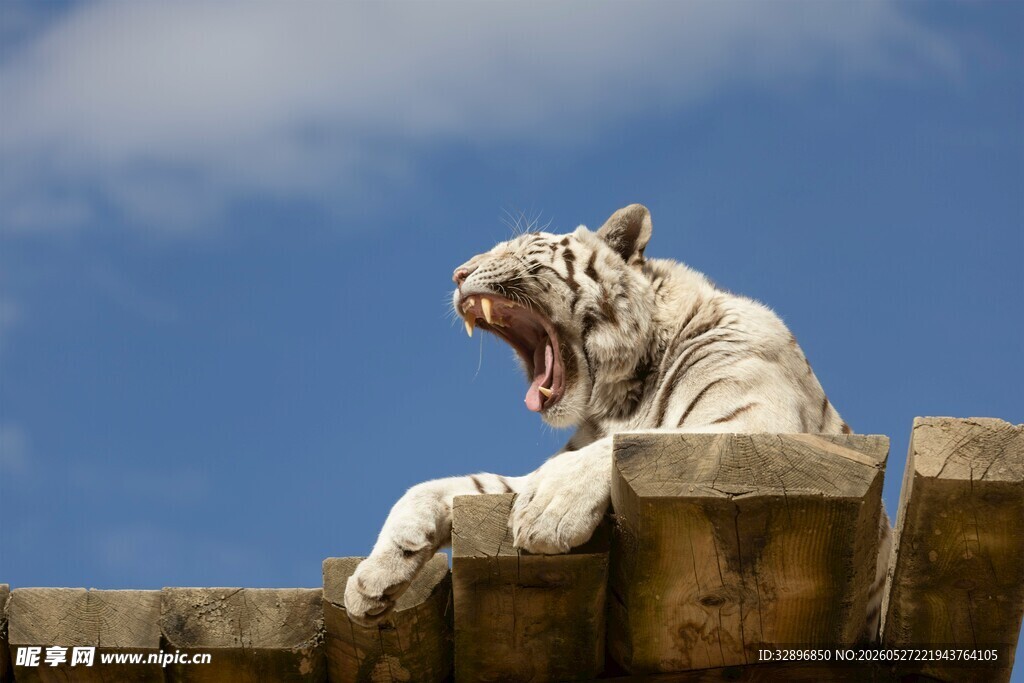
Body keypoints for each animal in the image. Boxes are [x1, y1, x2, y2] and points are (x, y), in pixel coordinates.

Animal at [344, 203, 891, 641]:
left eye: (523, 248)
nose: (458, 273)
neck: (623, 394)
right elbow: (437, 489)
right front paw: (371, 580)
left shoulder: (756, 428)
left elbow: (643, 441)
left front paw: (548, 514)